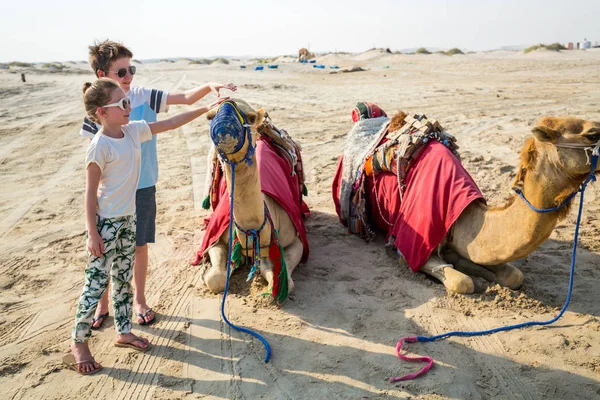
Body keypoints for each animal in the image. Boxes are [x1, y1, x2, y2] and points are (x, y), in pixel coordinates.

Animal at [200, 99, 308, 296]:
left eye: (250, 117)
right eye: (210, 116)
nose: (224, 124)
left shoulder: (296, 241)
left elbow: (281, 280)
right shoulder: (214, 239)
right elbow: (215, 279)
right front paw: (207, 273)